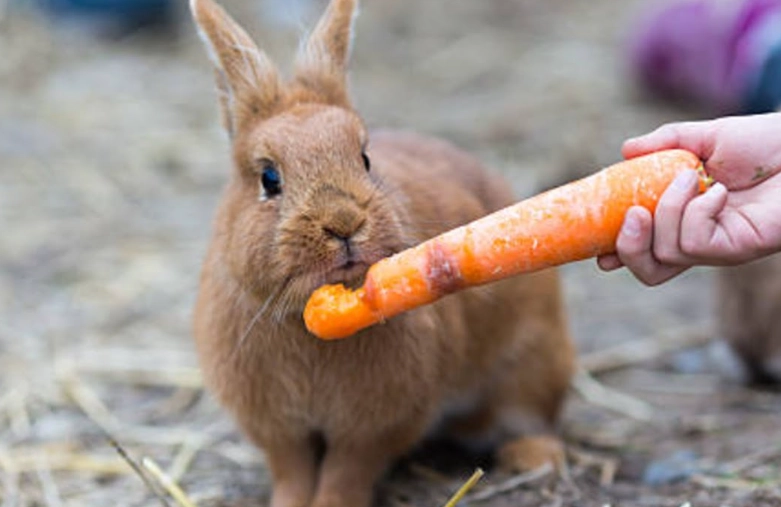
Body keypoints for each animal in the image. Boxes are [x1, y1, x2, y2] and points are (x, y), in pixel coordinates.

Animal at [190, 0, 575, 506]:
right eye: (269, 179)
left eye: (365, 159)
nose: (343, 222)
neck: (312, 319)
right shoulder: (279, 429)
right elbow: (292, 471)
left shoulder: (374, 427)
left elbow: (345, 472)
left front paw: (331, 504)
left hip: (530, 361)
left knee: (531, 415)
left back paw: (533, 459)